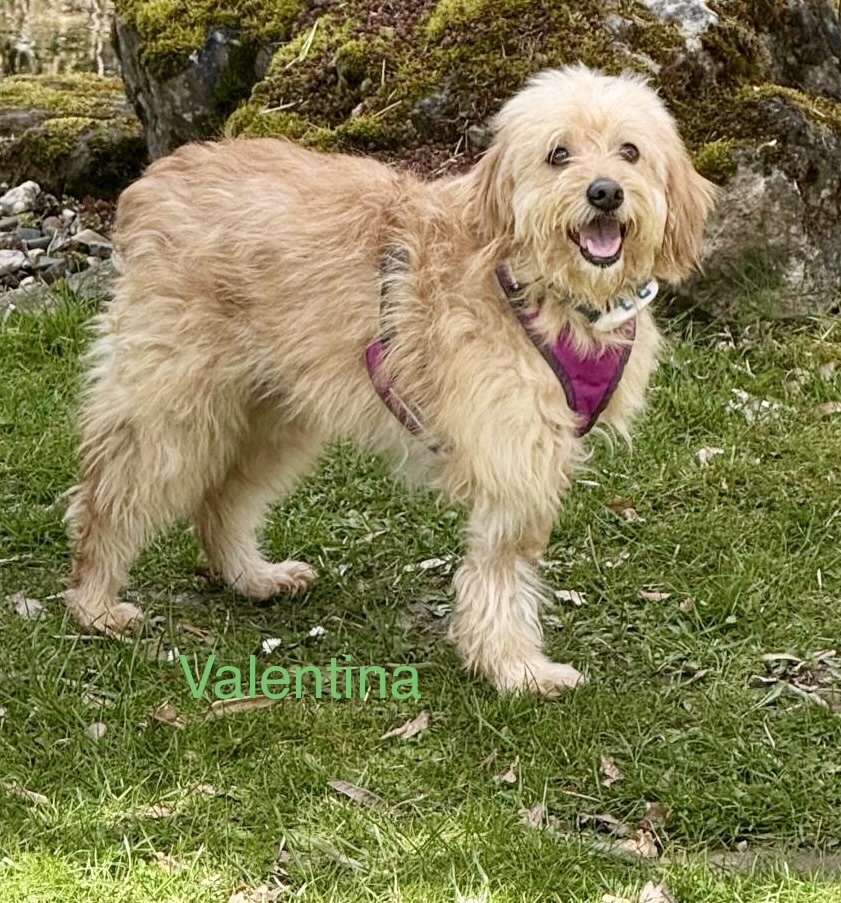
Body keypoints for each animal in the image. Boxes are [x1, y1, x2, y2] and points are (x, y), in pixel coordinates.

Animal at [66, 65, 715, 695]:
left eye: (630, 151)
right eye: (559, 154)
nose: (605, 192)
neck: (539, 289)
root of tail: (154, 182)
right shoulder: (513, 463)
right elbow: (501, 573)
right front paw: (514, 668)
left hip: (273, 414)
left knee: (221, 500)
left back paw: (251, 575)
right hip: (169, 404)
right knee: (109, 496)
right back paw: (96, 602)